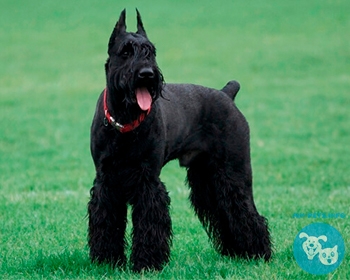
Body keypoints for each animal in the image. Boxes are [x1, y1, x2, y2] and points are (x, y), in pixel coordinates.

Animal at [87, 9, 270, 274]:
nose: (147, 74)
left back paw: (258, 253)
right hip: (207, 178)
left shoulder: (148, 180)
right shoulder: (106, 180)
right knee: (224, 210)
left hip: (234, 173)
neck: (125, 121)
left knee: (246, 212)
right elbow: (106, 219)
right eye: (126, 51)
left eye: (151, 51)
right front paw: (107, 260)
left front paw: (147, 263)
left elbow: (149, 220)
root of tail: (227, 94)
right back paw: (237, 252)